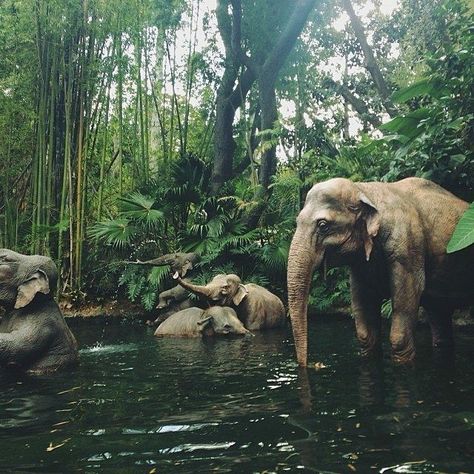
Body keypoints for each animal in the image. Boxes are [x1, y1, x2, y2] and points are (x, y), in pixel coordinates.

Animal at [286, 178, 474, 366]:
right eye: (297, 221)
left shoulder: (407, 248)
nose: (311, 364)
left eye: (323, 225)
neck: (364, 189)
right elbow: (365, 326)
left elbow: (408, 300)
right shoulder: (361, 263)